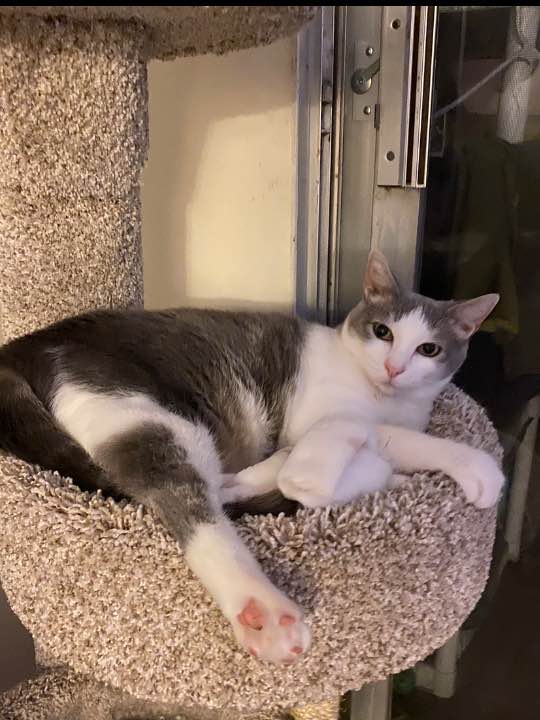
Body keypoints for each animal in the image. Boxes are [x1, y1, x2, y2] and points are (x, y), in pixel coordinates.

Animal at [0, 250, 504, 664]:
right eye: (383, 332)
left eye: (428, 349)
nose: (394, 367)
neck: (386, 397)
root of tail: (23, 347)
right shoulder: (319, 420)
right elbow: (371, 440)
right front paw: (478, 469)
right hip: (144, 410)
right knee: (192, 500)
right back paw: (262, 606)